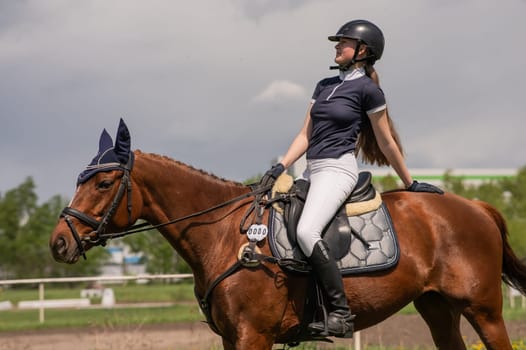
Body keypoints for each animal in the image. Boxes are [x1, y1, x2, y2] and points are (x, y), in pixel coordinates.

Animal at [51, 121, 526, 350]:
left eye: (103, 183)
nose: (59, 241)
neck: (225, 235)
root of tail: (476, 206)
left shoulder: (252, 336)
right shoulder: (231, 338)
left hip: (484, 310)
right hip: (437, 308)